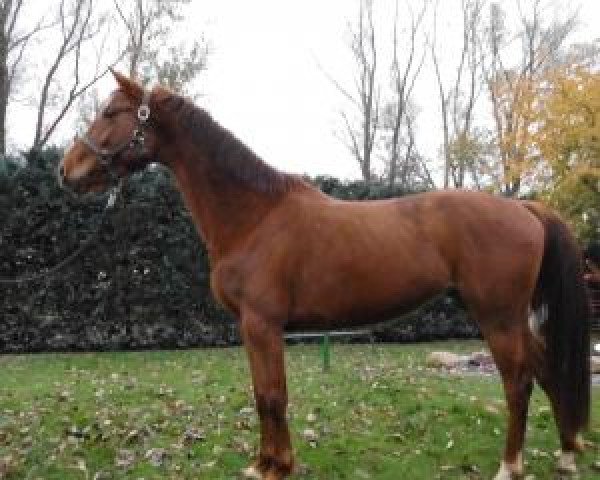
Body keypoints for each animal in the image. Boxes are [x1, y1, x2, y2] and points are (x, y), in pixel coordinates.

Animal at [61, 72, 592, 480]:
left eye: (110, 112)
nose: (66, 170)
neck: (254, 216)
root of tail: (524, 207)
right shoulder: (252, 328)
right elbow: (263, 395)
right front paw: (264, 463)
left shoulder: (262, 324)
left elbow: (272, 396)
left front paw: (277, 467)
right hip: (510, 317)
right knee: (546, 368)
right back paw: (566, 455)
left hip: (497, 316)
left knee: (518, 381)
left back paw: (510, 466)